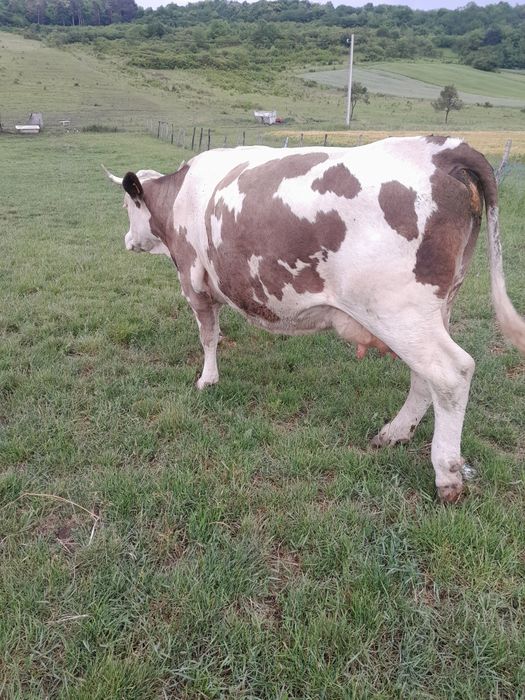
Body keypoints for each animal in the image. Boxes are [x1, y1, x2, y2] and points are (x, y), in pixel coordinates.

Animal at [104, 136, 525, 502]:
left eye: (127, 207)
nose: (126, 241)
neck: (180, 195)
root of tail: (443, 148)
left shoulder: (192, 281)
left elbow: (207, 336)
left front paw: (207, 380)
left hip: (399, 312)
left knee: (452, 373)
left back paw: (446, 474)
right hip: (434, 310)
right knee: (425, 377)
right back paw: (393, 432)